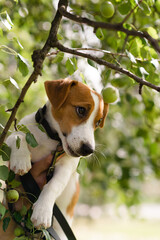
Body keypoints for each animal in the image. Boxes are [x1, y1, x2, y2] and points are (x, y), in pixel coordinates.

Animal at [4, 79, 109, 240]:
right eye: (81, 110)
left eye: (98, 122)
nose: (88, 150)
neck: (51, 138)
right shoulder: (18, 132)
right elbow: (18, 136)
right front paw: (21, 160)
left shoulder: (66, 166)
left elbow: (53, 186)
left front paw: (42, 211)